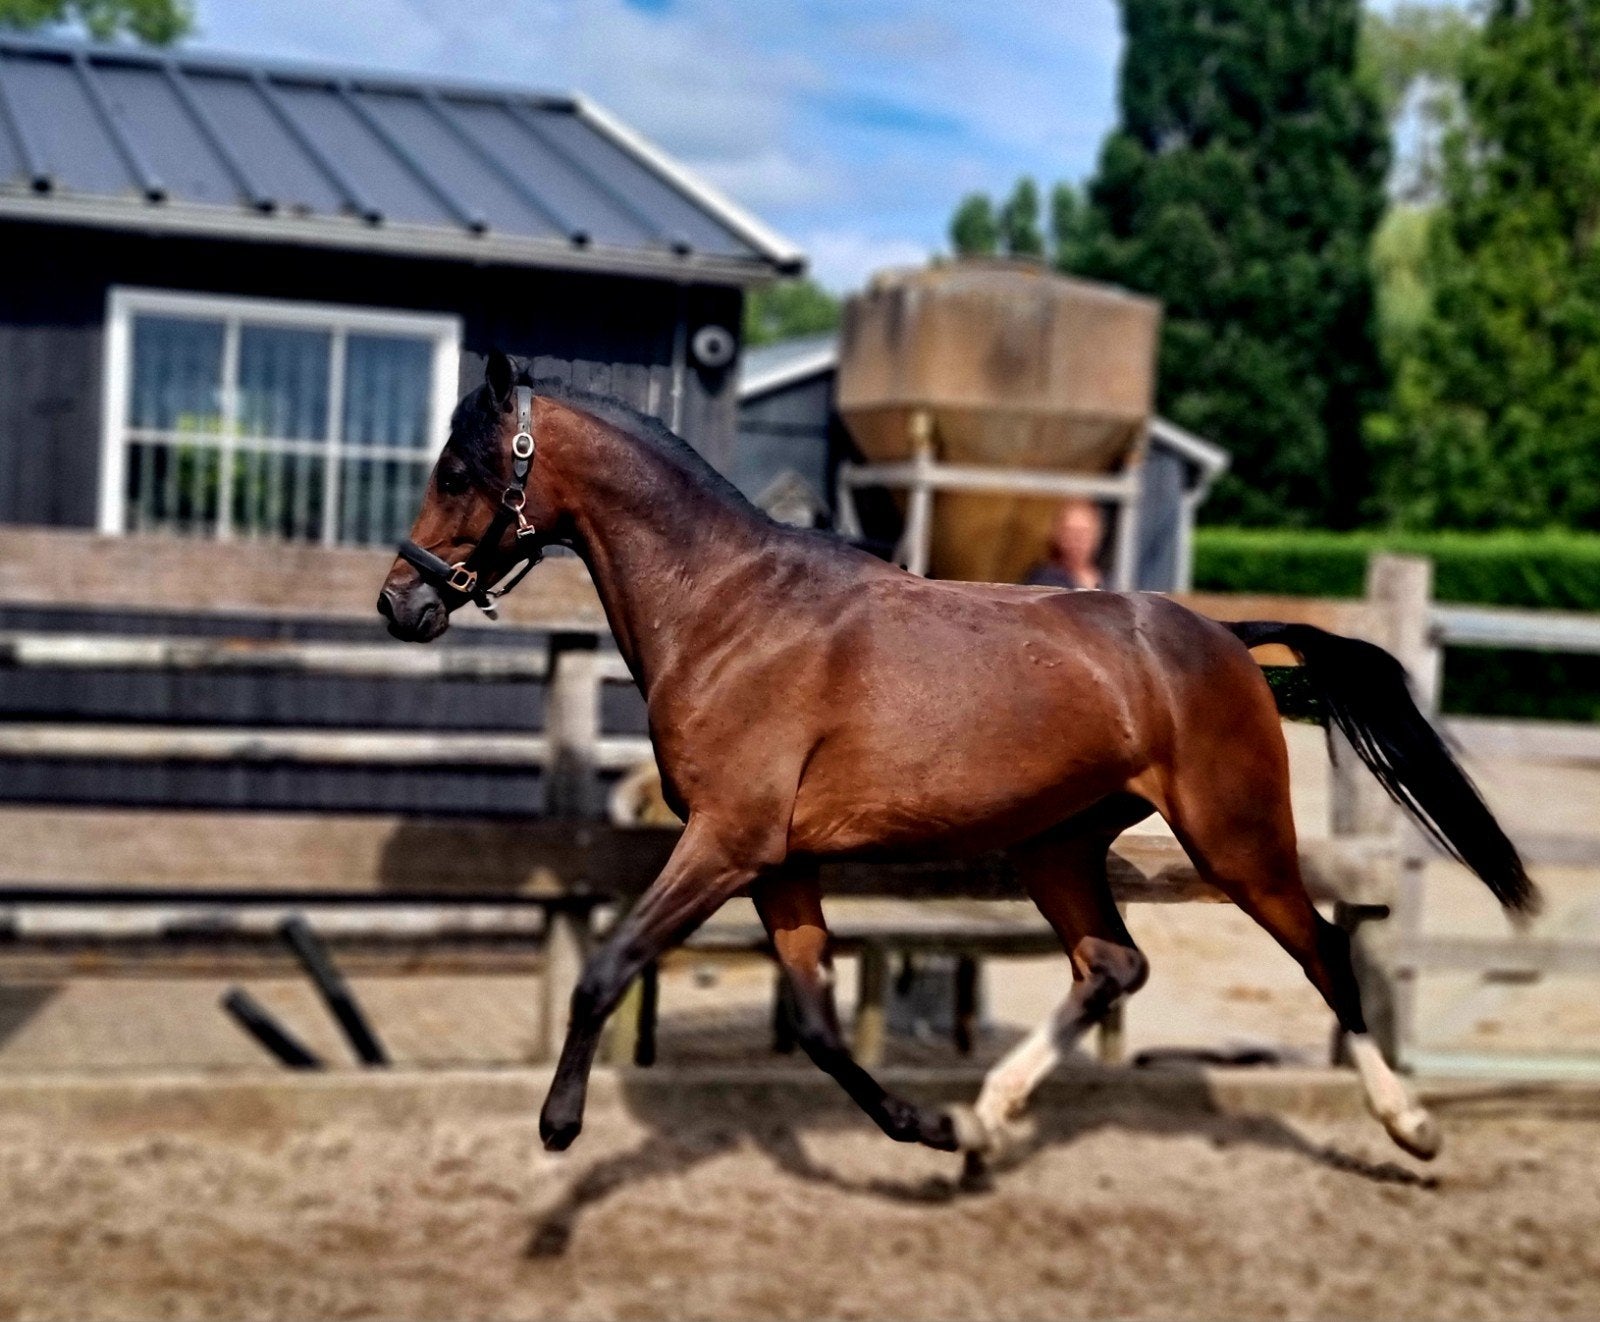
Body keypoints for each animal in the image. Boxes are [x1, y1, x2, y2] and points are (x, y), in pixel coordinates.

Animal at [378, 352, 1536, 1165]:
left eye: (459, 468)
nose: (401, 602)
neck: (729, 610)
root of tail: (1225, 638)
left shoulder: (726, 840)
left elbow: (606, 967)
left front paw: (559, 1124)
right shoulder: (778, 861)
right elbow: (816, 1024)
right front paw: (925, 1128)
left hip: (1236, 840)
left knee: (1325, 955)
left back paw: (1411, 1126)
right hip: (1055, 847)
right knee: (1112, 964)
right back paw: (987, 1117)